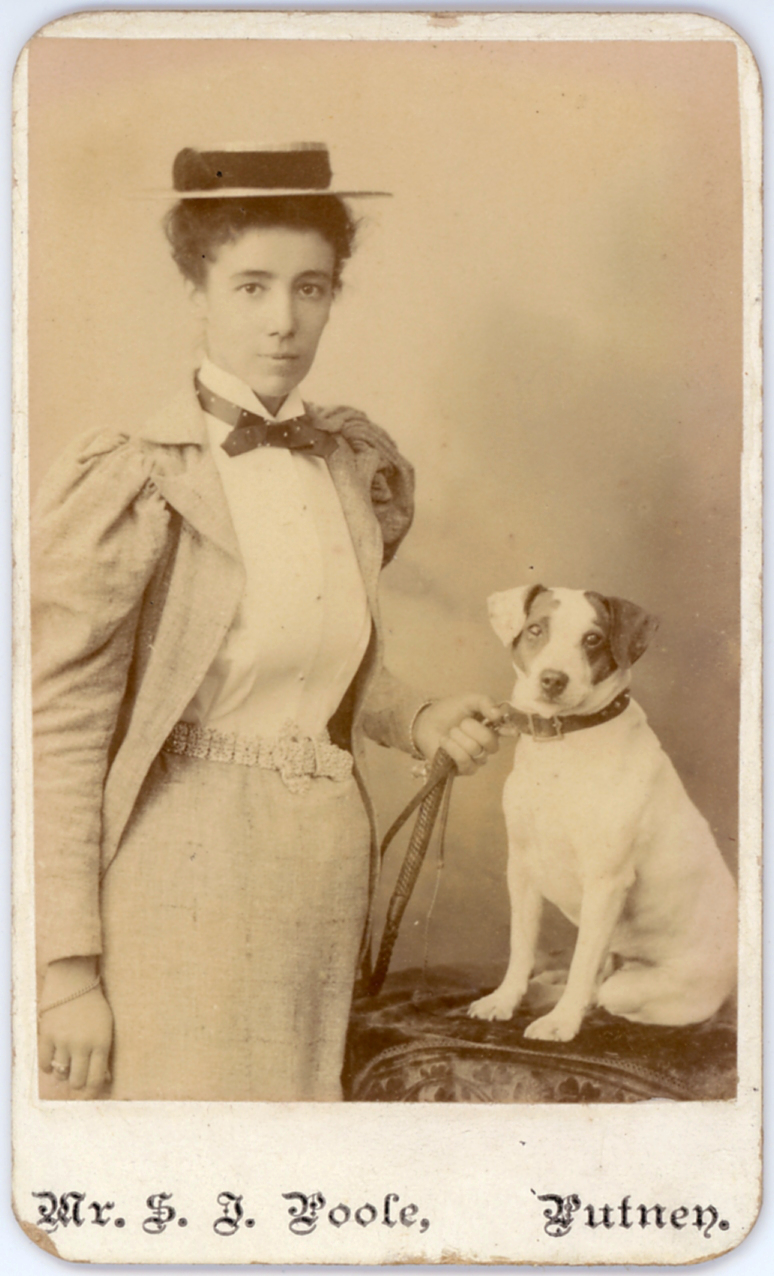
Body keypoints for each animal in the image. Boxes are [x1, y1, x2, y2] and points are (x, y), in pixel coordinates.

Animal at [466, 584, 739, 1041]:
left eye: (593, 639)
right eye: (536, 629)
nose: (552, 680)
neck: (563, 746)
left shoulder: (605, 881)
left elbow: (581, 966)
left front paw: (561, 1022)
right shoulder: (521, 869)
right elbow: (521, 947)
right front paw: (505, 999)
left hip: (639, 984)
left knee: (603, 989)